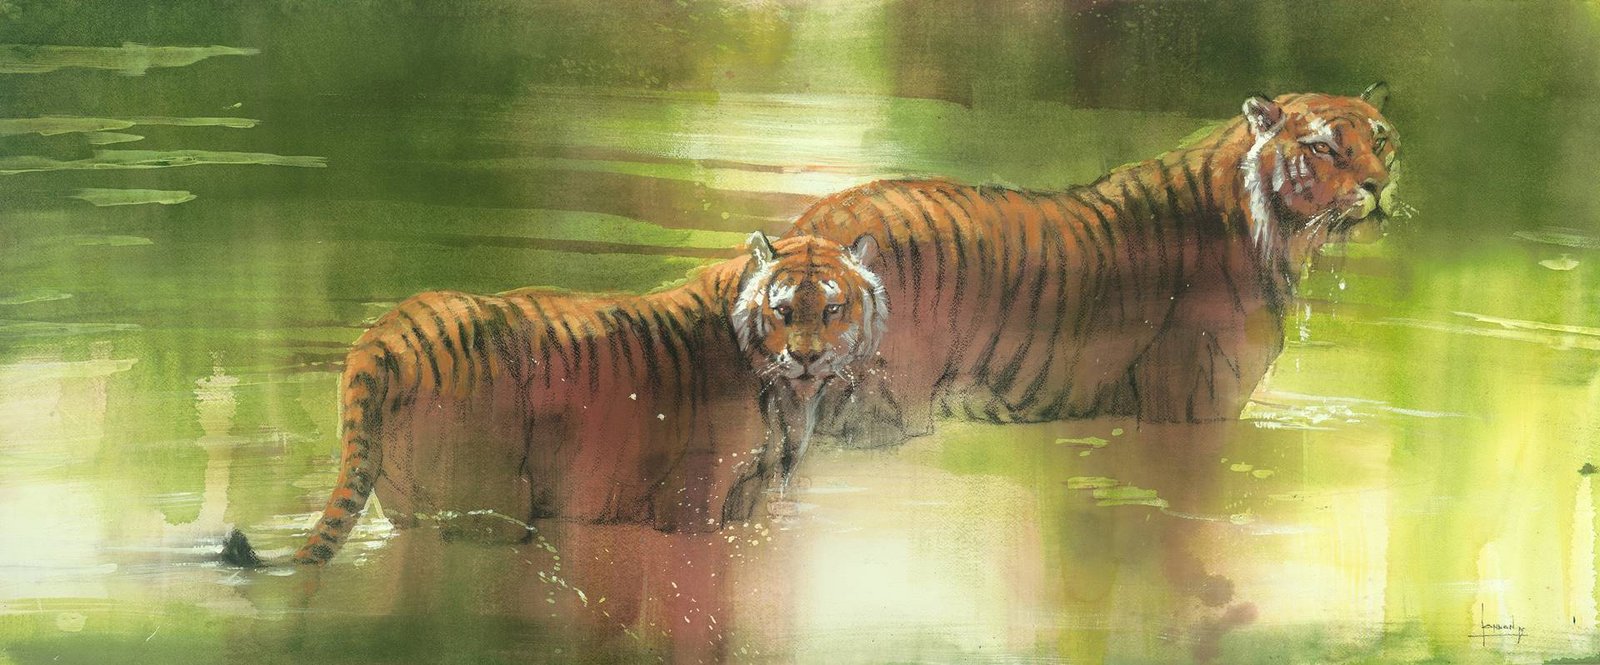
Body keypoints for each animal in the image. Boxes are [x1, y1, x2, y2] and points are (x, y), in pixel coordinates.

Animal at [221, 232, 886, 566]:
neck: (789, 394)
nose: (806, 356)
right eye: (783, 310)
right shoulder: (692, 503)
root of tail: (382, 337)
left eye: (832, 308)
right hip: (490, 502)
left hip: (408, 497)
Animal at [788, 84, 1400, 443]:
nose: (1378, 185)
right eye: (1323, 148)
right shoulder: (1198, 399)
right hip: (892, 401)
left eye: (1382, 142)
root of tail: (813, 224)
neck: (1274, 234)